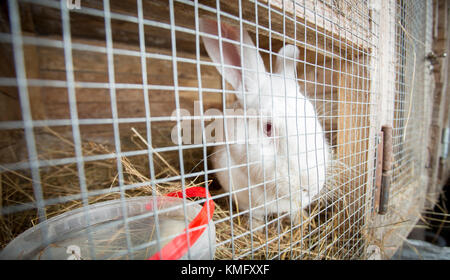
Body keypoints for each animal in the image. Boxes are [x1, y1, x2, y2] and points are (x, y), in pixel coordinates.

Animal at [199, 17, 328, 226]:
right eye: (268, 128)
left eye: (313, 117)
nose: (311, 185)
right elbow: (257, 218)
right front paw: (256, 227)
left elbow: (295, 210)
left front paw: (301, 220)